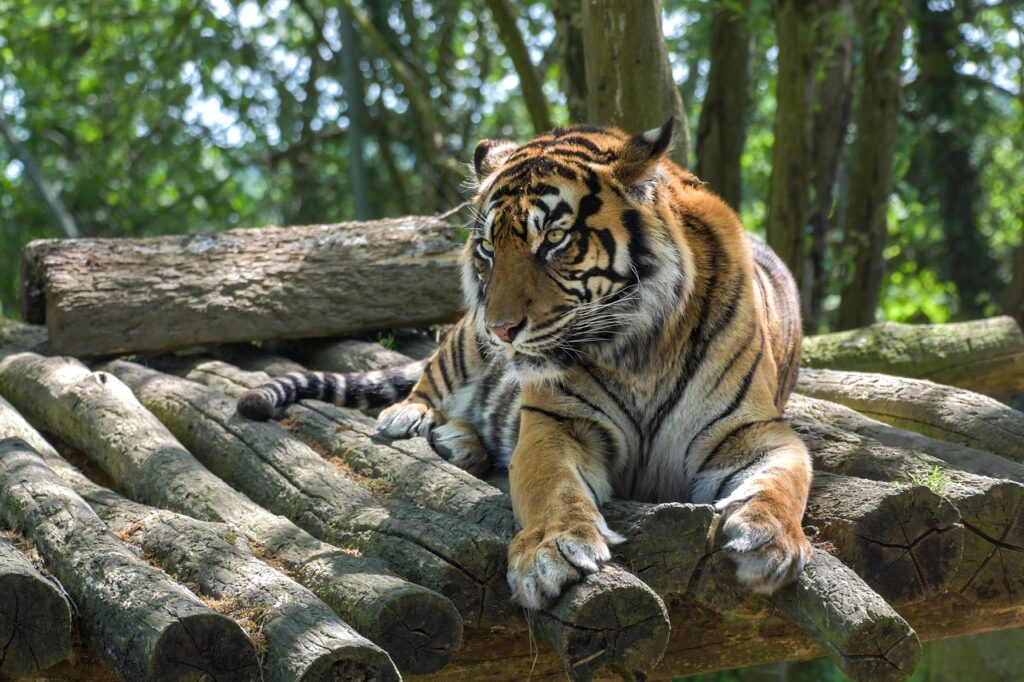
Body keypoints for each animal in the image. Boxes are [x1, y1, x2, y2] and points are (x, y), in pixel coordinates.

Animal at [237, 119, 813, 610]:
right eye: (487, 248)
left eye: (554, 240)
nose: (500, 329)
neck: (637, 354)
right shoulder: (556, 422)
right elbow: (549, 486)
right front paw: (551, 551)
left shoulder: (752, 429)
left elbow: (786, 480)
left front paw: (770, 538)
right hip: (461, 345)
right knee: (430, 380)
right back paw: (415, 418)